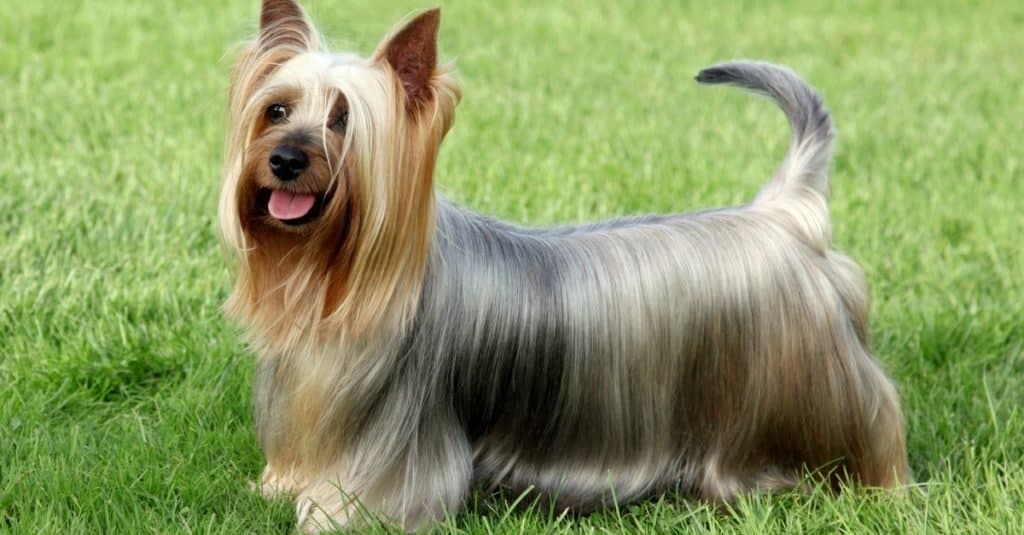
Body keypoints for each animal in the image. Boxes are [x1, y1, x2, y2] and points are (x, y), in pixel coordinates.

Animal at [220, 1, 909, 528]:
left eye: (343, 120)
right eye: (277, 110)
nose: (284, 159)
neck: (334, 272)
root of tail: (785, 212)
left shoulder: (402, 439)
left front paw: (333, 515)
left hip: (817, 385)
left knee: (874, 424)